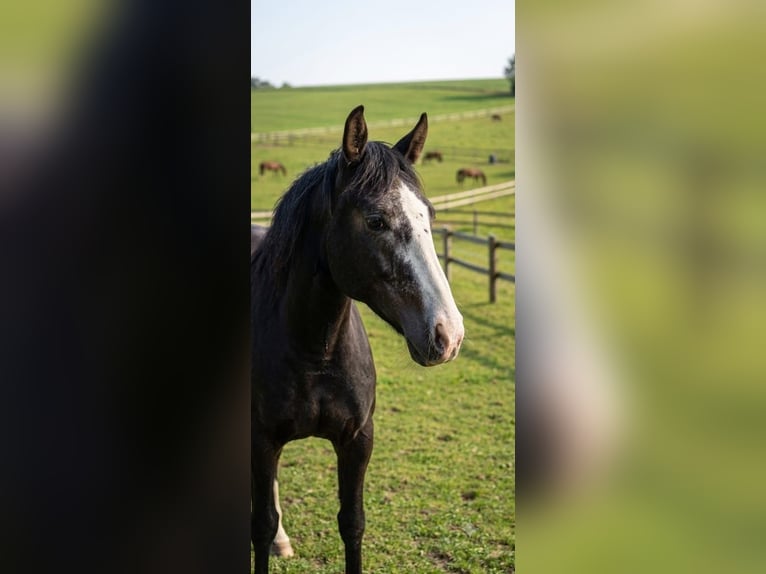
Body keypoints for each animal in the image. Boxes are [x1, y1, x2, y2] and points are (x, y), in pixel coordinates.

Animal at [251, 106, 464, 574]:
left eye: (429, 216)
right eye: (376, 221)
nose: (449, 333)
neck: (316, 350)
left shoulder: (357, 439)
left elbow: (352, 523)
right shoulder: (261, 438)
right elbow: (260, 525)